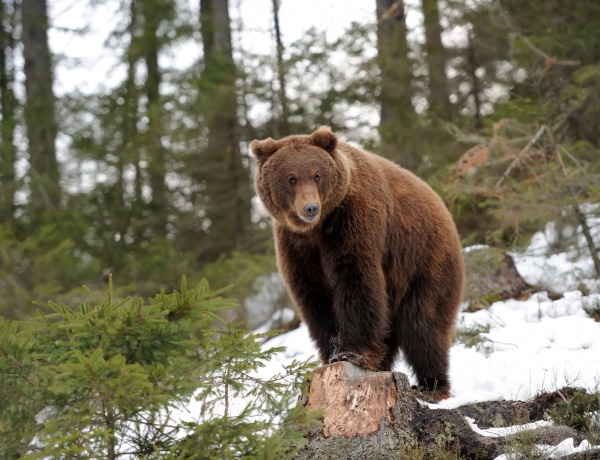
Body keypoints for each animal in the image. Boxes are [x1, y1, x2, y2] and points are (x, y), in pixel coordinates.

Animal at [248, 127, 464, 400]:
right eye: (291, 178)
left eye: (317, 175)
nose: (310, 208)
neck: (318, 228)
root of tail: (446, 212)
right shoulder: (296, 246)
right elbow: (315, 296)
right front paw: (331, 354)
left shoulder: (354, 219)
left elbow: (355, 279)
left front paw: (352, 353)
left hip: (425, 261)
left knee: (423, 325)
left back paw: (431, 385)